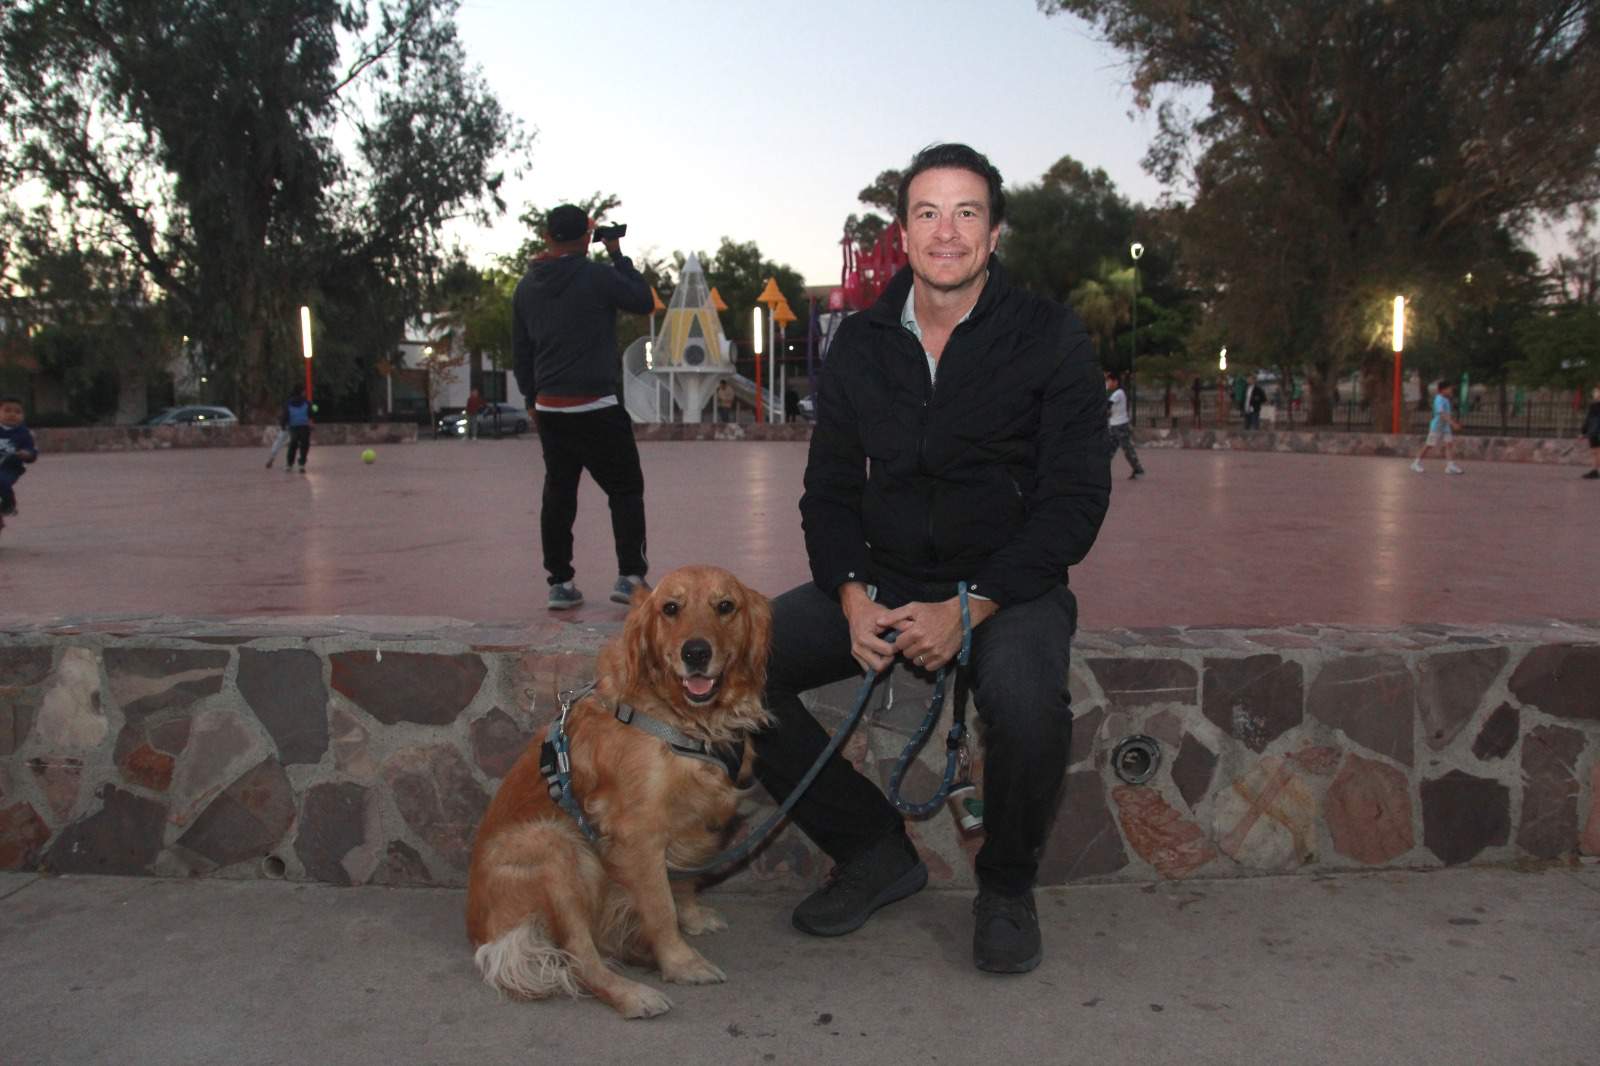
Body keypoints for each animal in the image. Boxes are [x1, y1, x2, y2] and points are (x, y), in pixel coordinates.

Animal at [467, 560, 771, 1017]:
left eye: (725, 606)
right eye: (670, 608)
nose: (696, 653)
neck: (681, 719)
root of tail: (486, 934)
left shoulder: (695, 819)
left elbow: (683, 882)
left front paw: (692, 919)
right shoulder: (638, 832)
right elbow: (660, 907)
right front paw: (680, 962)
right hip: (555, 846)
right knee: (581, 960)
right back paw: (634, 993)